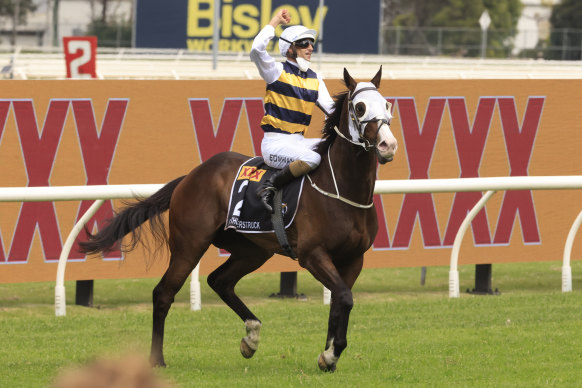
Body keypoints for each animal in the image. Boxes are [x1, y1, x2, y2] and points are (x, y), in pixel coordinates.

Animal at [80, 67, 400, 372]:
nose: (388, 145)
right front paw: (331, 354)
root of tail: (191, 175)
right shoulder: (312, 254)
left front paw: (328, 357)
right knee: (163, 293)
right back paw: (157, 359)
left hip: (252, 250)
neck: (342, 190)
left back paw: (252, 335)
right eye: (360, 107)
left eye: (386, 104)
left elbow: (339, 300)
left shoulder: (354, 258)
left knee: (219, 280)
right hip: (189, 245)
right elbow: (344, 297)